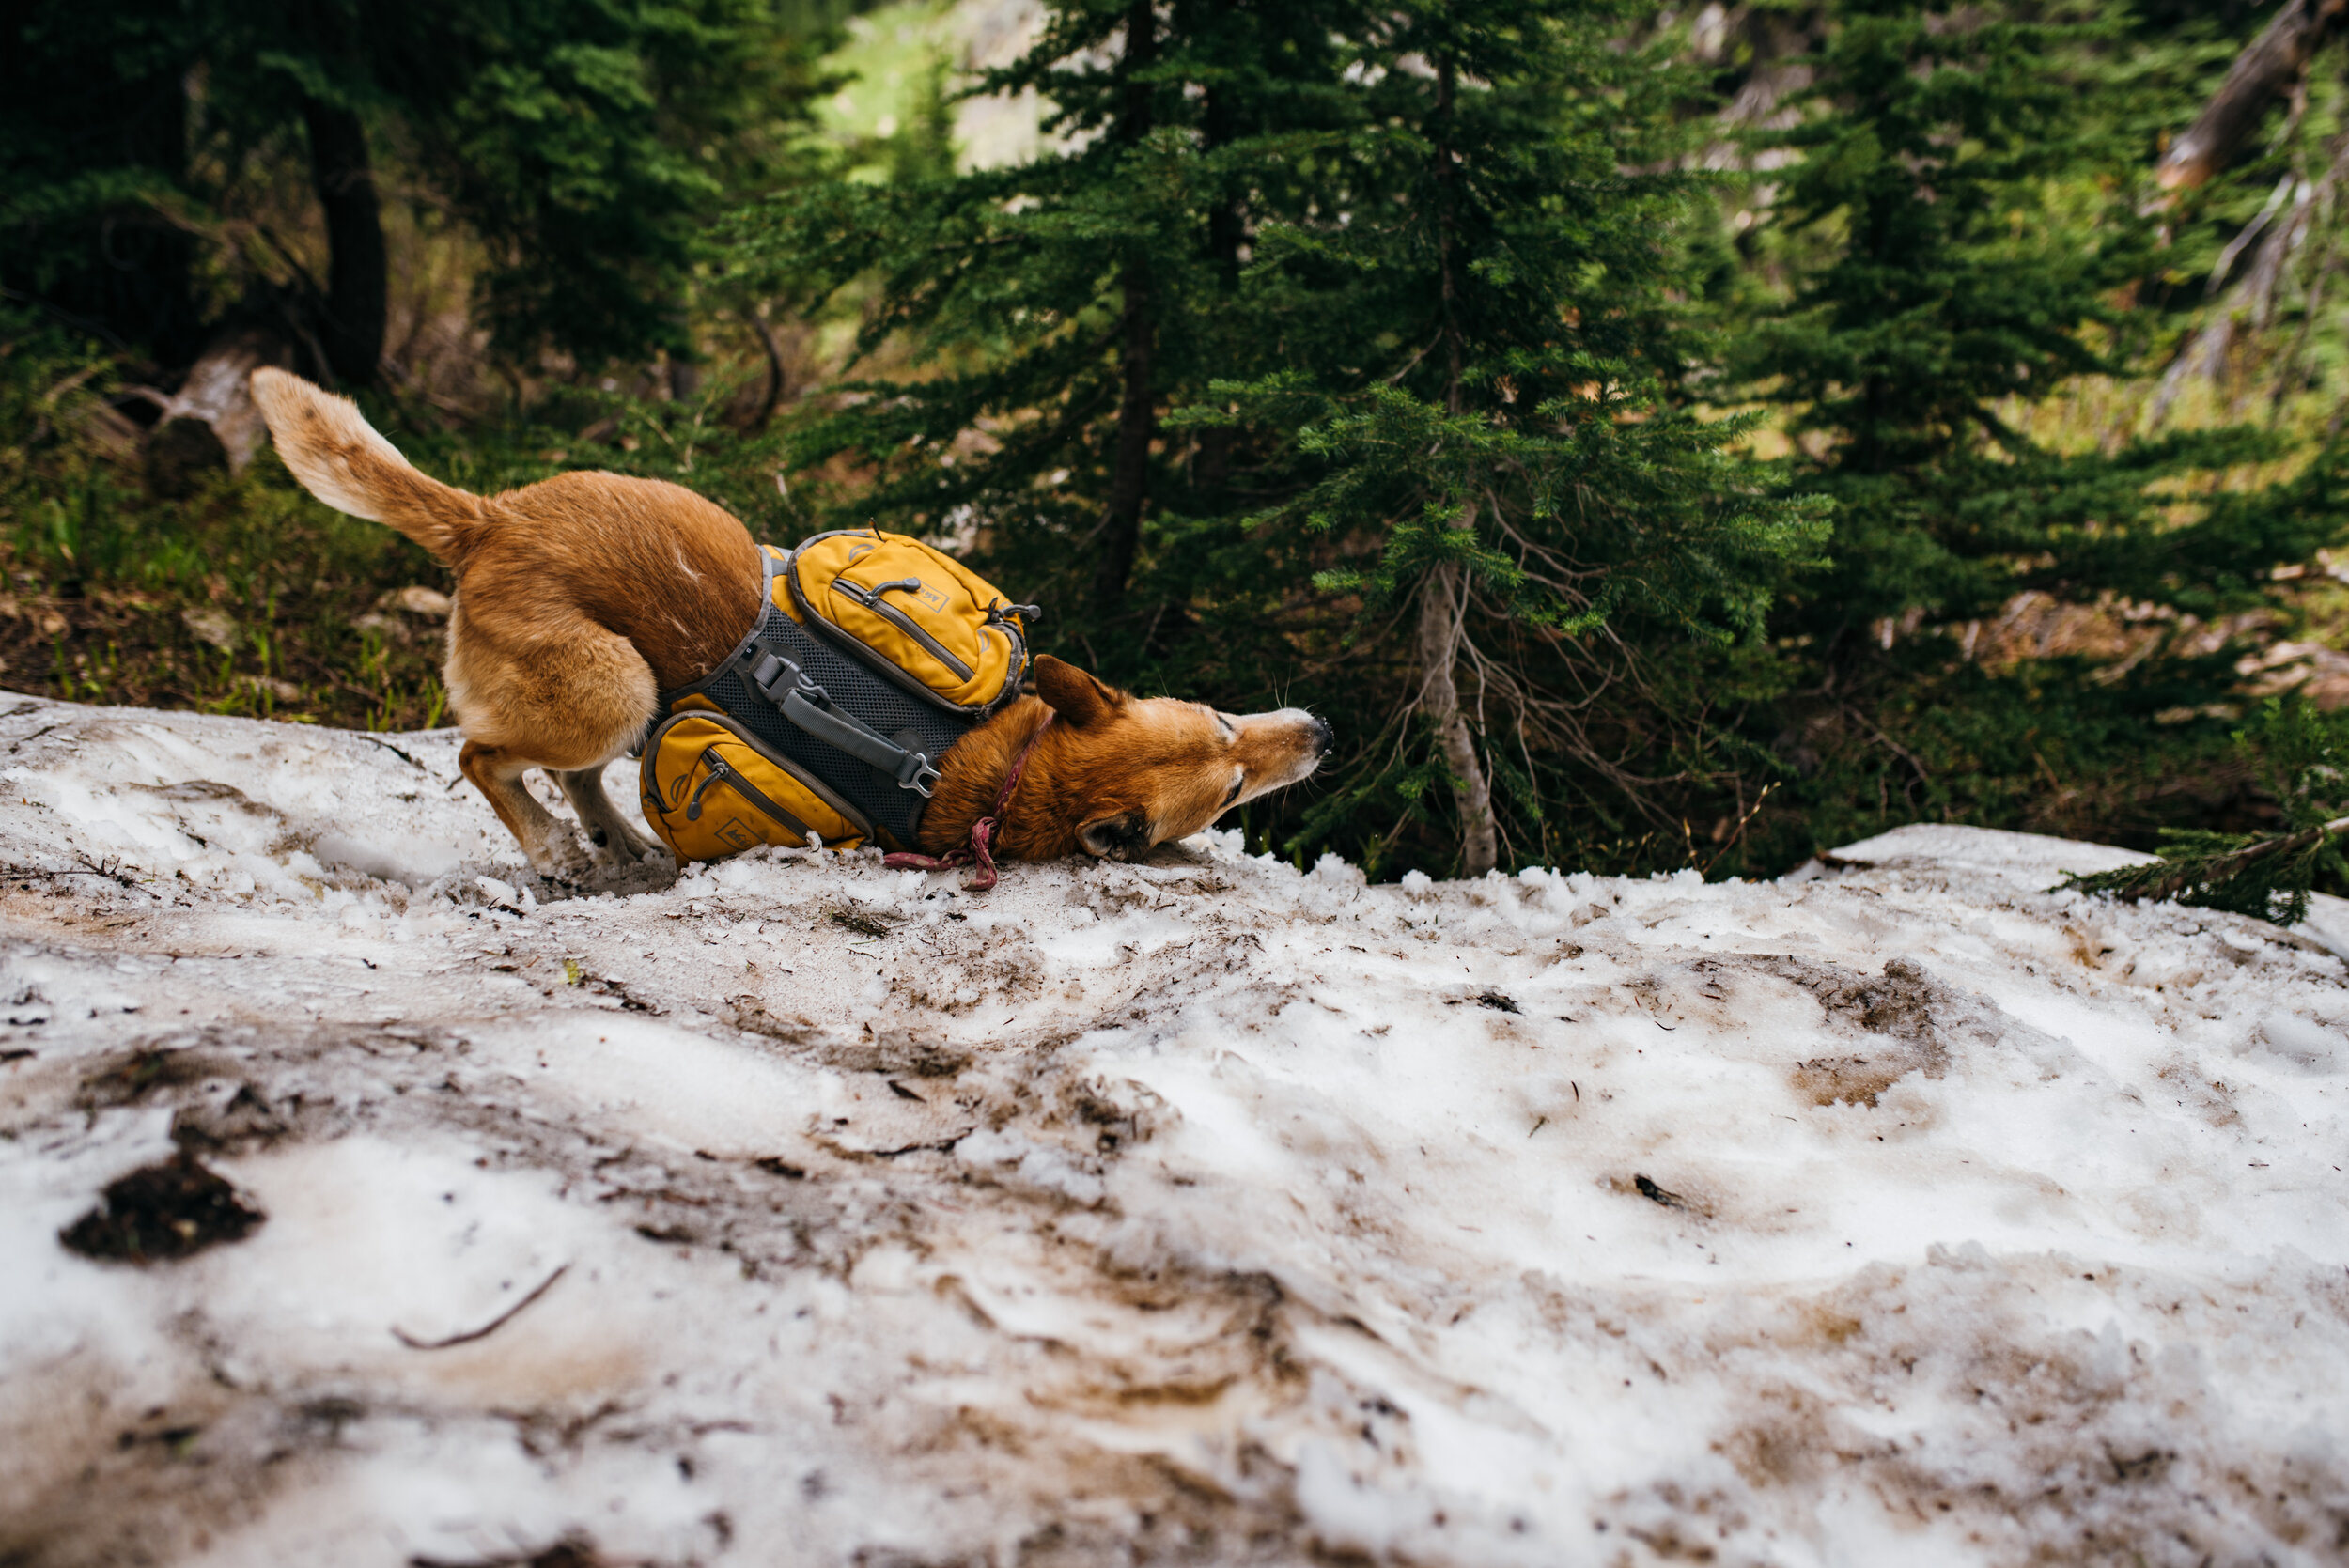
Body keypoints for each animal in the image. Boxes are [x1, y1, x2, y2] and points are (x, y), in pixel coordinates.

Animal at [247, 373, 1334, 877]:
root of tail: (490, 517)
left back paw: (612, 839)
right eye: (1231, 777)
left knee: (568, 773)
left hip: (627, 693)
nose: (1323, 730)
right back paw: (553, 851)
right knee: (485, 757)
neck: (1010, 771)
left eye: (1226, 731)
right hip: (614, 685)